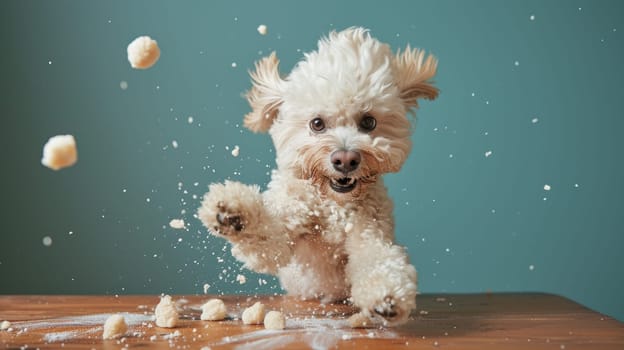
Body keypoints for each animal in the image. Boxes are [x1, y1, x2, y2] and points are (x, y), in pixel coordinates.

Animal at [197, 26, 436, 326]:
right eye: (317, 124)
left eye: (368, 122)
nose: (345, 159)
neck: (333, 206)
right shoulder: (286, 228)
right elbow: (269, 238)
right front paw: (233, 212)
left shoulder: (371, 231)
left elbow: (379, 258)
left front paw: (388, 297)